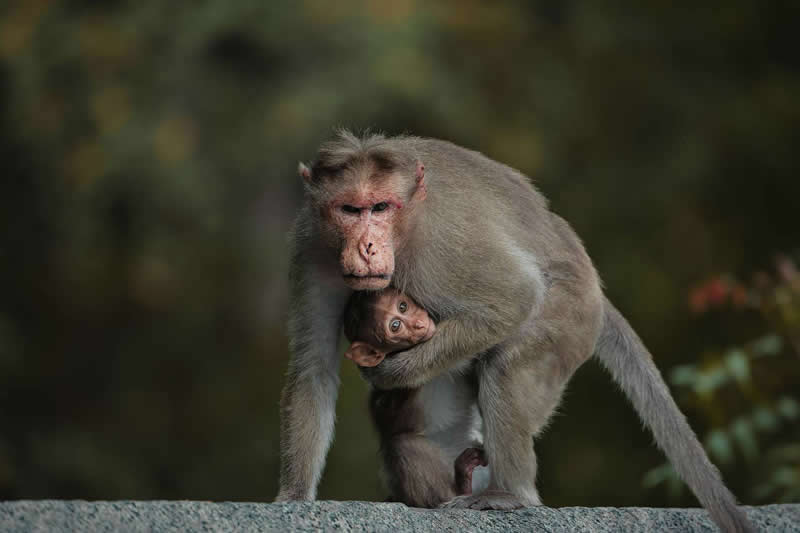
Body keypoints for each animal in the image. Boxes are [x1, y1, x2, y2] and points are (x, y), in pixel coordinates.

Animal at [341, 287, 489, 507]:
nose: (418, 323)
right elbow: (388, 414)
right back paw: (459, 487)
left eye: (403, 306)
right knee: (401, 445)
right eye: (395, 326)